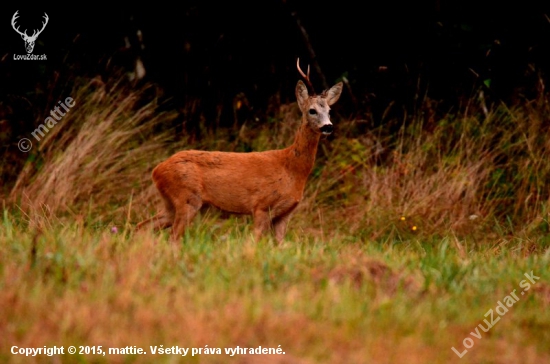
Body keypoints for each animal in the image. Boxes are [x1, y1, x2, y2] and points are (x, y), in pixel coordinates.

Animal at [137, 59, 344, 242]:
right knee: (172, 237)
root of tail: (157, 170)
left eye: (329, 111)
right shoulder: (261, 205)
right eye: (312, 110)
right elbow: (254, 241)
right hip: (187, 198)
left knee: (144, 226)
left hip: (171, 203)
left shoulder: (285, 213)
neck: (291, 169)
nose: (328, 126)